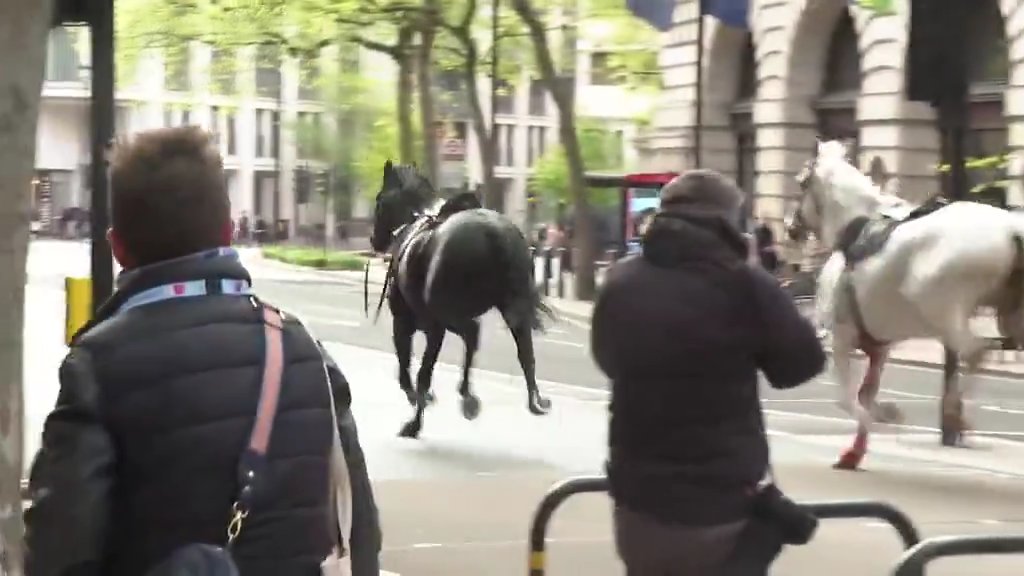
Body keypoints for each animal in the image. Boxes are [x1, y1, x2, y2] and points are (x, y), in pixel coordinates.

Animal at [370, 158, 552, 436]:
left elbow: (408, 369)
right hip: (511, 309)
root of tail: (493, 233)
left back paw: (429, 416)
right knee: (524, 353)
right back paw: (533, 400)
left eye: (379, 200)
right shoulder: (429, 326)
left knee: (468, 337)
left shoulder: (407, 323)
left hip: (447, 314)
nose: (375, 240)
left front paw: (418, 404)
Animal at [782, 139, 1024, 471]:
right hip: (1008, 315)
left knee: (976, 352)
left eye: (800, 182)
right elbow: (866, 393)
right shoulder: (879, 348)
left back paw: (958, 416)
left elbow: (847, 399)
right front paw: (855, 450)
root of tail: (1011, 228)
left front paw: (883, 416)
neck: (853, 230)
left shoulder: (841, 337)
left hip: (942, 307)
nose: (790, 227)